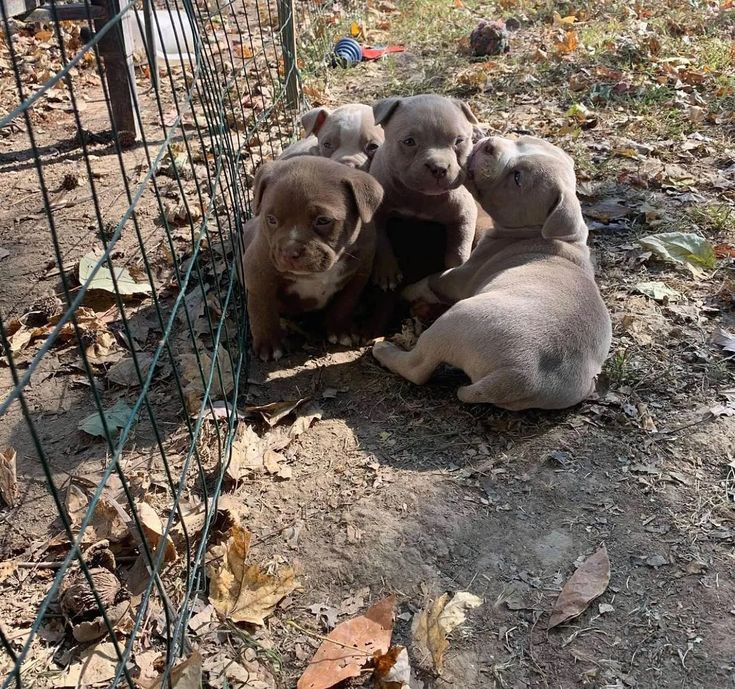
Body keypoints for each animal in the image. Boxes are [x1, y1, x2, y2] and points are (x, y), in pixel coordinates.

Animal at [239, 156, 386, 360]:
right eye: (271, 219)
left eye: (323, 220)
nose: (289, 251)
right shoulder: (258, 274)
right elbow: (262, 310)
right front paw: (269, 344)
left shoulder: (359, 273)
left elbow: (345, 302)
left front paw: (339, 330)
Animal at [370, 93, 480, 288]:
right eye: (409, 142)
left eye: (459, 141)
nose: (439, 167)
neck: (421, 197)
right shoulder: (377, 214)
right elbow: (382, 241)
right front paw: (386, 272)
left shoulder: (465, 213)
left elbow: (459, 249)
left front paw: (455, 272)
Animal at [370, 137, 612, 412]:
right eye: (521, 140)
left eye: (517, 178)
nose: (489, 144)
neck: (542, 235)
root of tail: (521, 376)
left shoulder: (461, 277)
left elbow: (432, 280)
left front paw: (406, 289)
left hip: (456, 319)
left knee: (418, 367)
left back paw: (385, 350)